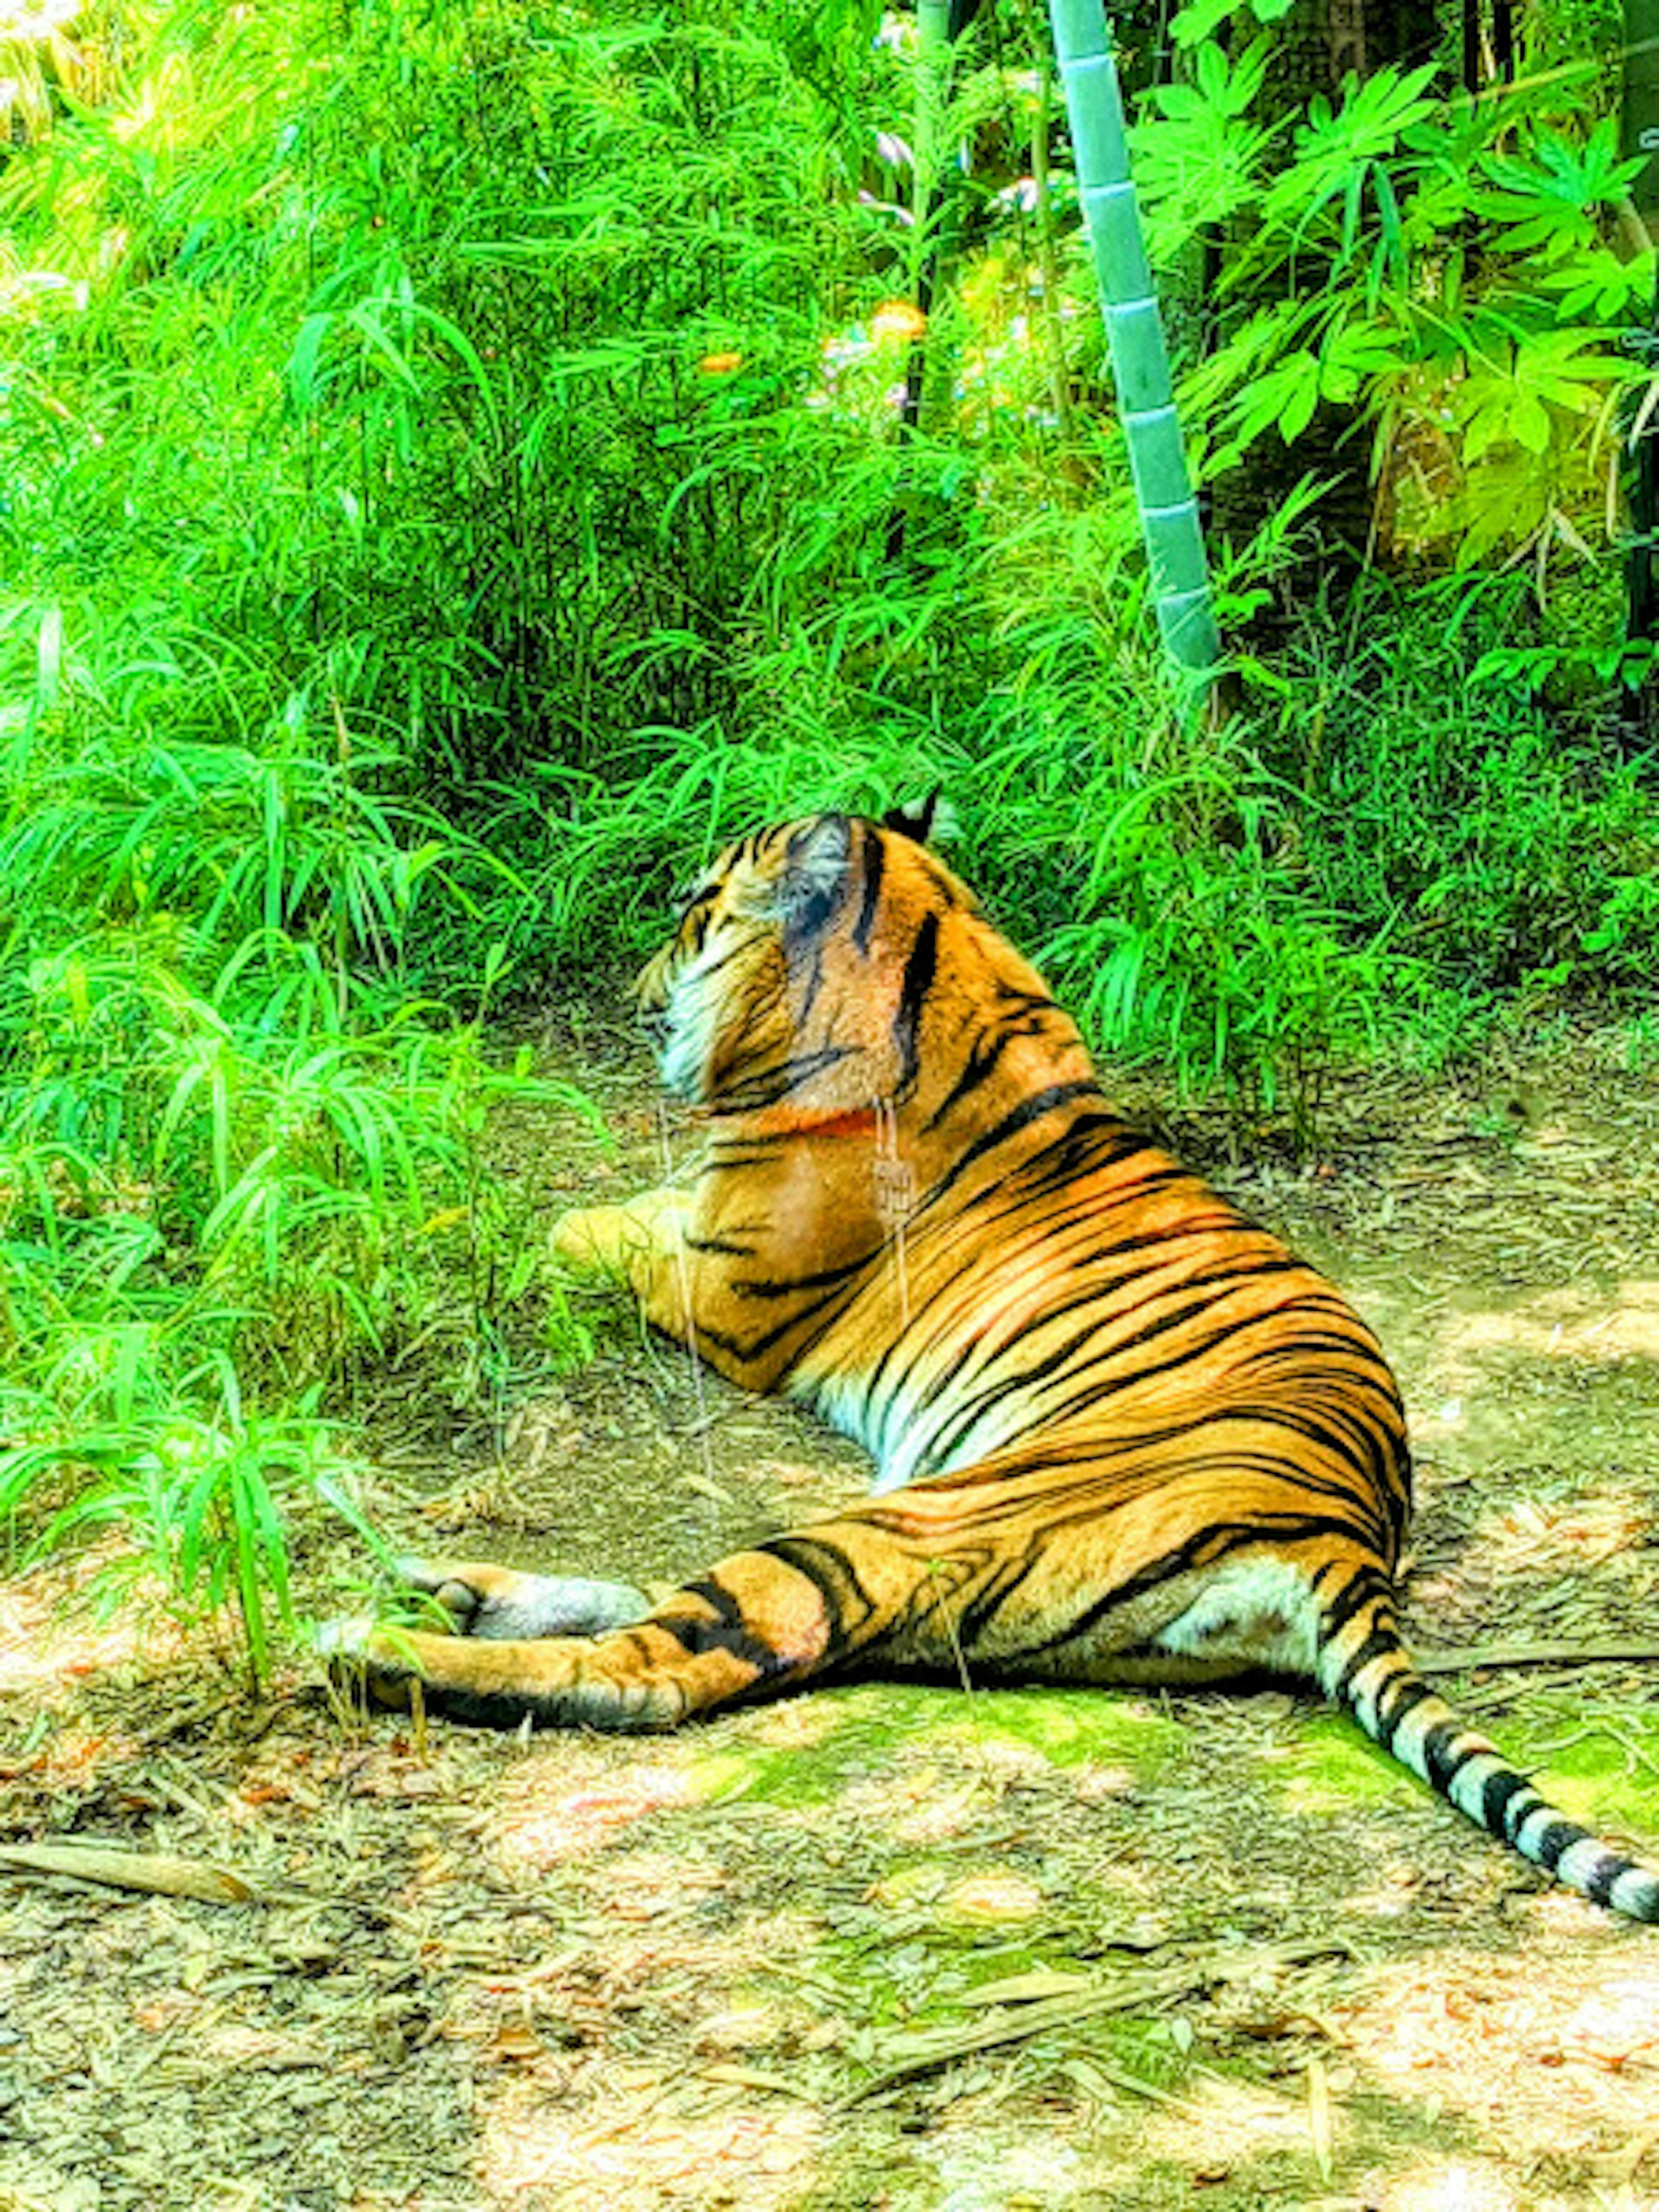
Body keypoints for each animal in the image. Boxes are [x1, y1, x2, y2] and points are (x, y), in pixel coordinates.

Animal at [345, 809, 1659, 1920]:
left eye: (697, 905)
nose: (638, 983)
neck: (933, 966)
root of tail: (1340, 1538)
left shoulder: (722, 1292)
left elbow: (577, 1227)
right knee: (676, 1611)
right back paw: (444, 1587)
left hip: (912, 1523)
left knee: (666, 1663)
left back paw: (380, 1644)